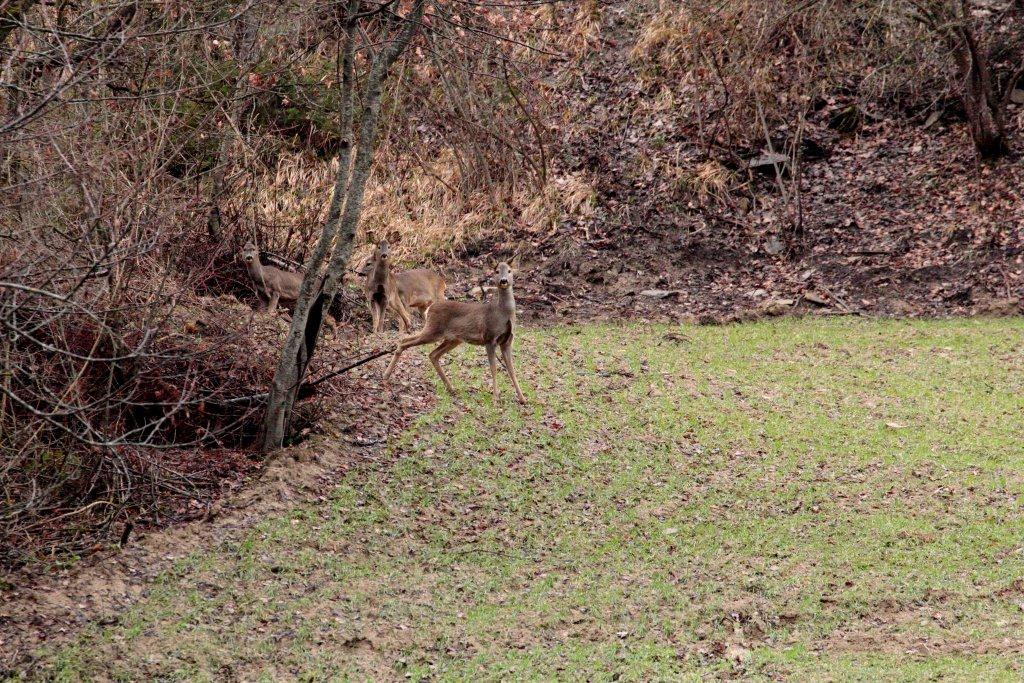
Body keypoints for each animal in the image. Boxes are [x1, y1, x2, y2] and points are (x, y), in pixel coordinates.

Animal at [382, 259, 528, 403]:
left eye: (509, 271)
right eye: (497, 271)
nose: (503, 280)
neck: (503, 314)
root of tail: (430, 308)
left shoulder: (507, 341)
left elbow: (511, 369)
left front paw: (522, 398)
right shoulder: (489, 338)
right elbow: (494, 368)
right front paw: (496, 398)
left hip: (452, 339)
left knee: (433, 354)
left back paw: (450, 388)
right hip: (433, 330)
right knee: (405, 341)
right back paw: (386, 375)